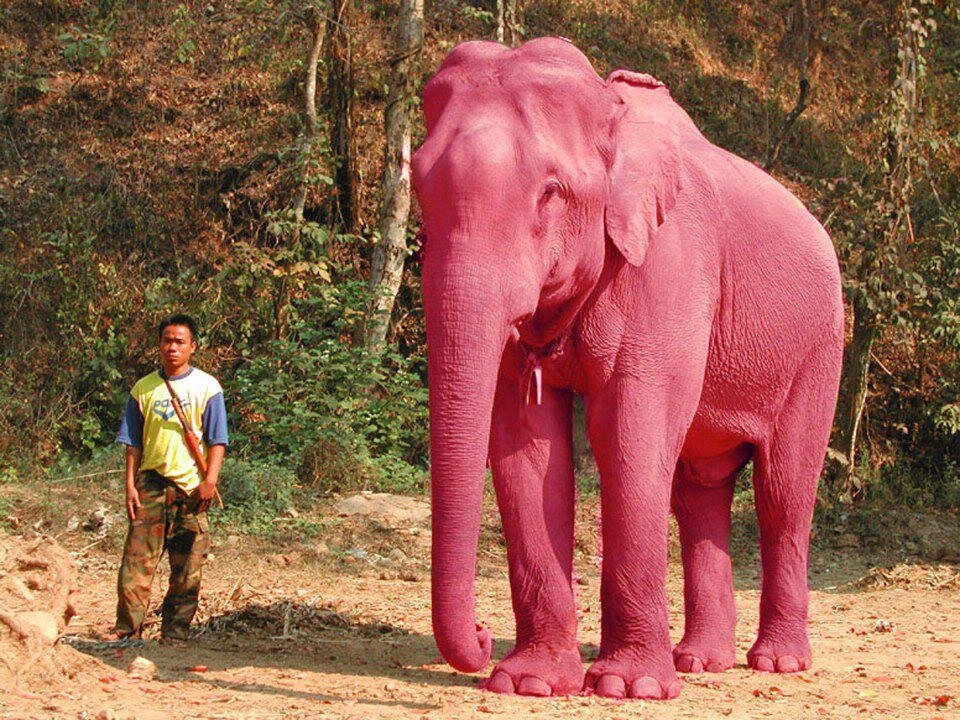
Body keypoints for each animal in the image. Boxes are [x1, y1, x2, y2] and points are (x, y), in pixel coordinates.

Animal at [410, 36, 840, 700]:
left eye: (550, 192)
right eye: (417, 187)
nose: (482, 637)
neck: (608, 111)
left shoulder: (668, 265)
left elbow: (627, 431)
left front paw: (624, 687)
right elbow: (525, 444)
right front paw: (529, 684)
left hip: (818, 348)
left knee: (783, 491)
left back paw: (778, 664)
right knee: (700, 489)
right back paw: (699, 662)